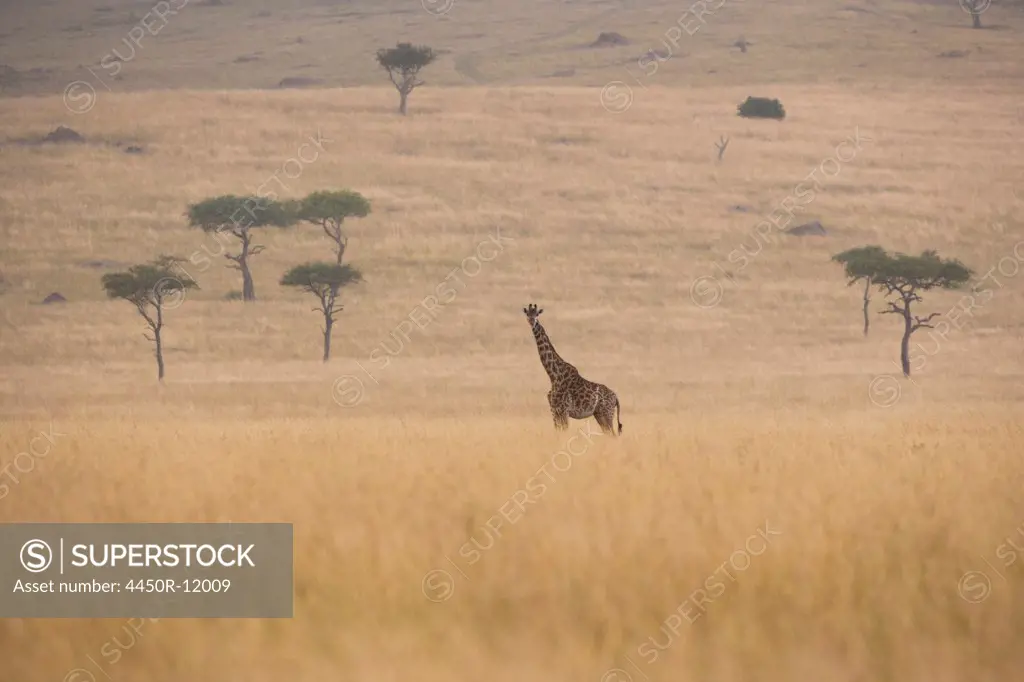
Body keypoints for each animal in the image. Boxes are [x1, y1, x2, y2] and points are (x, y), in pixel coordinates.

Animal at [524, 303, 618, 436]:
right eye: (527, 313)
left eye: (537, 314)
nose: (532, 321)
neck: (553, 374)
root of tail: (615, 397)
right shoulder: (554, 410)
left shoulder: (563, 410)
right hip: (599, 414)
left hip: (607, 413)